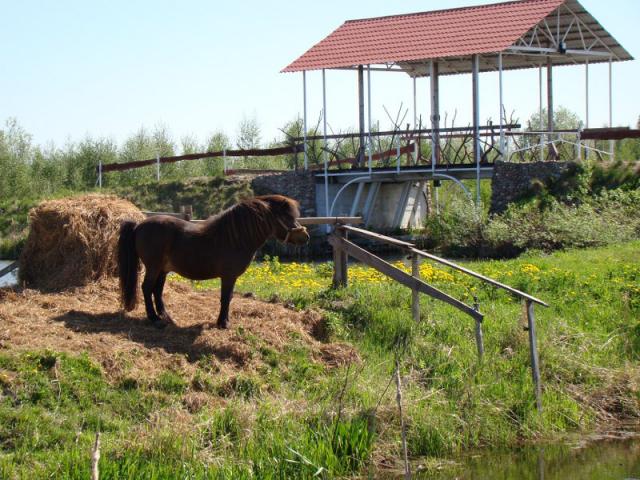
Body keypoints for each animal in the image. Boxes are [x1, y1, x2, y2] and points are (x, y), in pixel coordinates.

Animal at [120, 193, 312, 328]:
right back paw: (153, 318)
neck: (235, 238)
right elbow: (226, 297)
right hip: (153, 267)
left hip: (163, 269)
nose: (306, 237)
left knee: (157, 290)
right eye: (287, 217)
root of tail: (139, 225)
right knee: (146, 288)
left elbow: (228, 297)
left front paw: (224, 321)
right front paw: (223, 323)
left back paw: (164, 316)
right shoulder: (228, 276)